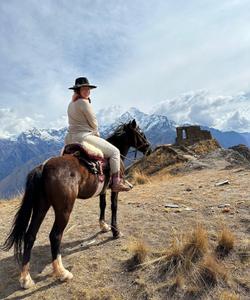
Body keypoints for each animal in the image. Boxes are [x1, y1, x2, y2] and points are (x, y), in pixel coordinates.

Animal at [1, 119, 150, 288]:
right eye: (141, 133)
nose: (149, 148)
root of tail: (43, 168)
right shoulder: (113, 189)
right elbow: (114, 207)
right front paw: (115, 231)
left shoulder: (103, 190)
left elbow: (102, 205)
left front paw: (103, 226)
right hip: (64, 210)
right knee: (55, 236)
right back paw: (62, 272)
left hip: (41, 207)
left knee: (30, 235)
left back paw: (26, 278)